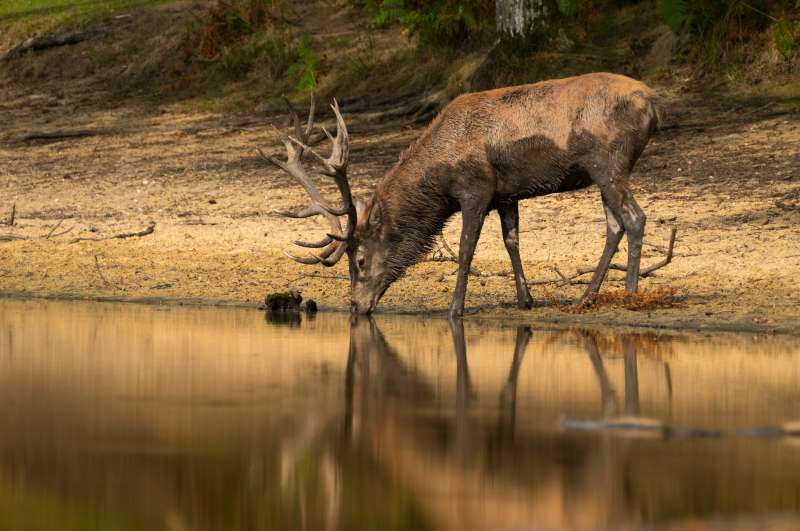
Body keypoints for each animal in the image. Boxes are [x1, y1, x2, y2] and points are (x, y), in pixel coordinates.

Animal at [260, 72, 660, 318]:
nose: (356, 306)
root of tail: (654, 103)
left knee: (635, 218)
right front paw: (525, 300)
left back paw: (630, 294)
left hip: (608, 161)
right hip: (602, 172)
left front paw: (455, 307)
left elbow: (467, 248)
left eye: (358, 261)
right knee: (614, 225)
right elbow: (512, 241)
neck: (439, 180)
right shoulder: (506, 194)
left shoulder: (475, 188)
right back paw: (585, 297)